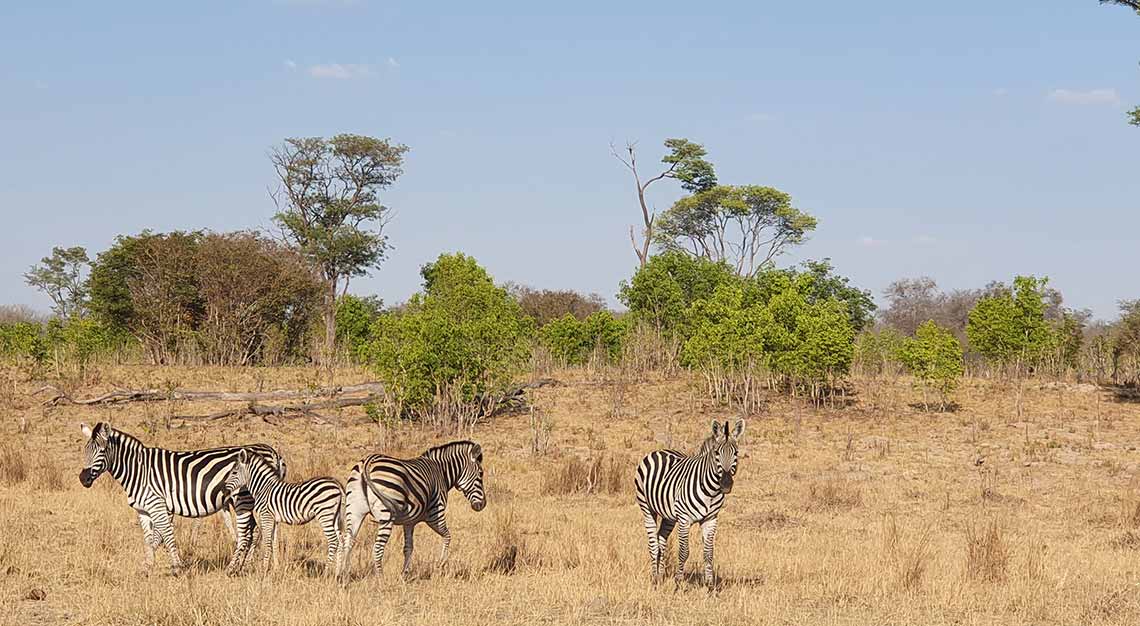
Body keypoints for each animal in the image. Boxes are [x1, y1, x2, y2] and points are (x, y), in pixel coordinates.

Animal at [335, 442, 483, 579]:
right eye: (480, 474)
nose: (482, 505)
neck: (441, 472)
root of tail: (368, 461)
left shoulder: (409, 522)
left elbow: (408, 547)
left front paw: (404, 574)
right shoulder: (435, 513)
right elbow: (447, 536)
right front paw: (442, 563)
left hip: (354, 511)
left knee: (348, 542)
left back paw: (344, 574)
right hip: (386, 515)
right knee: (377, 548)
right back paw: (381, 579)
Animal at [638, 417, 743, 588]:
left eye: (736, 453)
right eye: (716, 453)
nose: (726, 484)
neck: (711, 491)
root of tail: (659, 450)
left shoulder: (711, 519)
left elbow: (708, 553)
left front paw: (709, 586)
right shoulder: (684, 519)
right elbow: (683, 552)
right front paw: (678, 583)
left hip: (669, 516)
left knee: (661, 539)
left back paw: (660, 575)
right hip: (647, 508)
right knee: (653, 543)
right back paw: (654, 580)